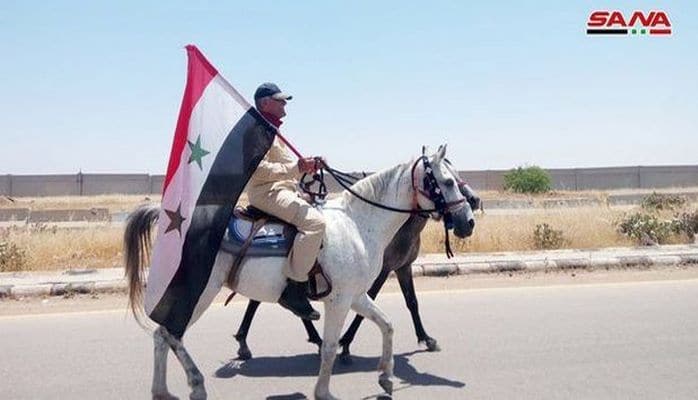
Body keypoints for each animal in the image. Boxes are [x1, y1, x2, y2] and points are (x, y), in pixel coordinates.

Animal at [123, 145, 474, 400]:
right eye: (447, 181)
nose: (467, 220)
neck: (358, 223)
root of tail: (174, 220)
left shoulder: (356, 295)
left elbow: (387, 325)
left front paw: (386, 378)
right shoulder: (340, 300)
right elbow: (331, 347)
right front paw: (324, 392)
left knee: (161, 335)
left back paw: (163, 391)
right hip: (201, 291)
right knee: (171, 333)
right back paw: (195, 384)